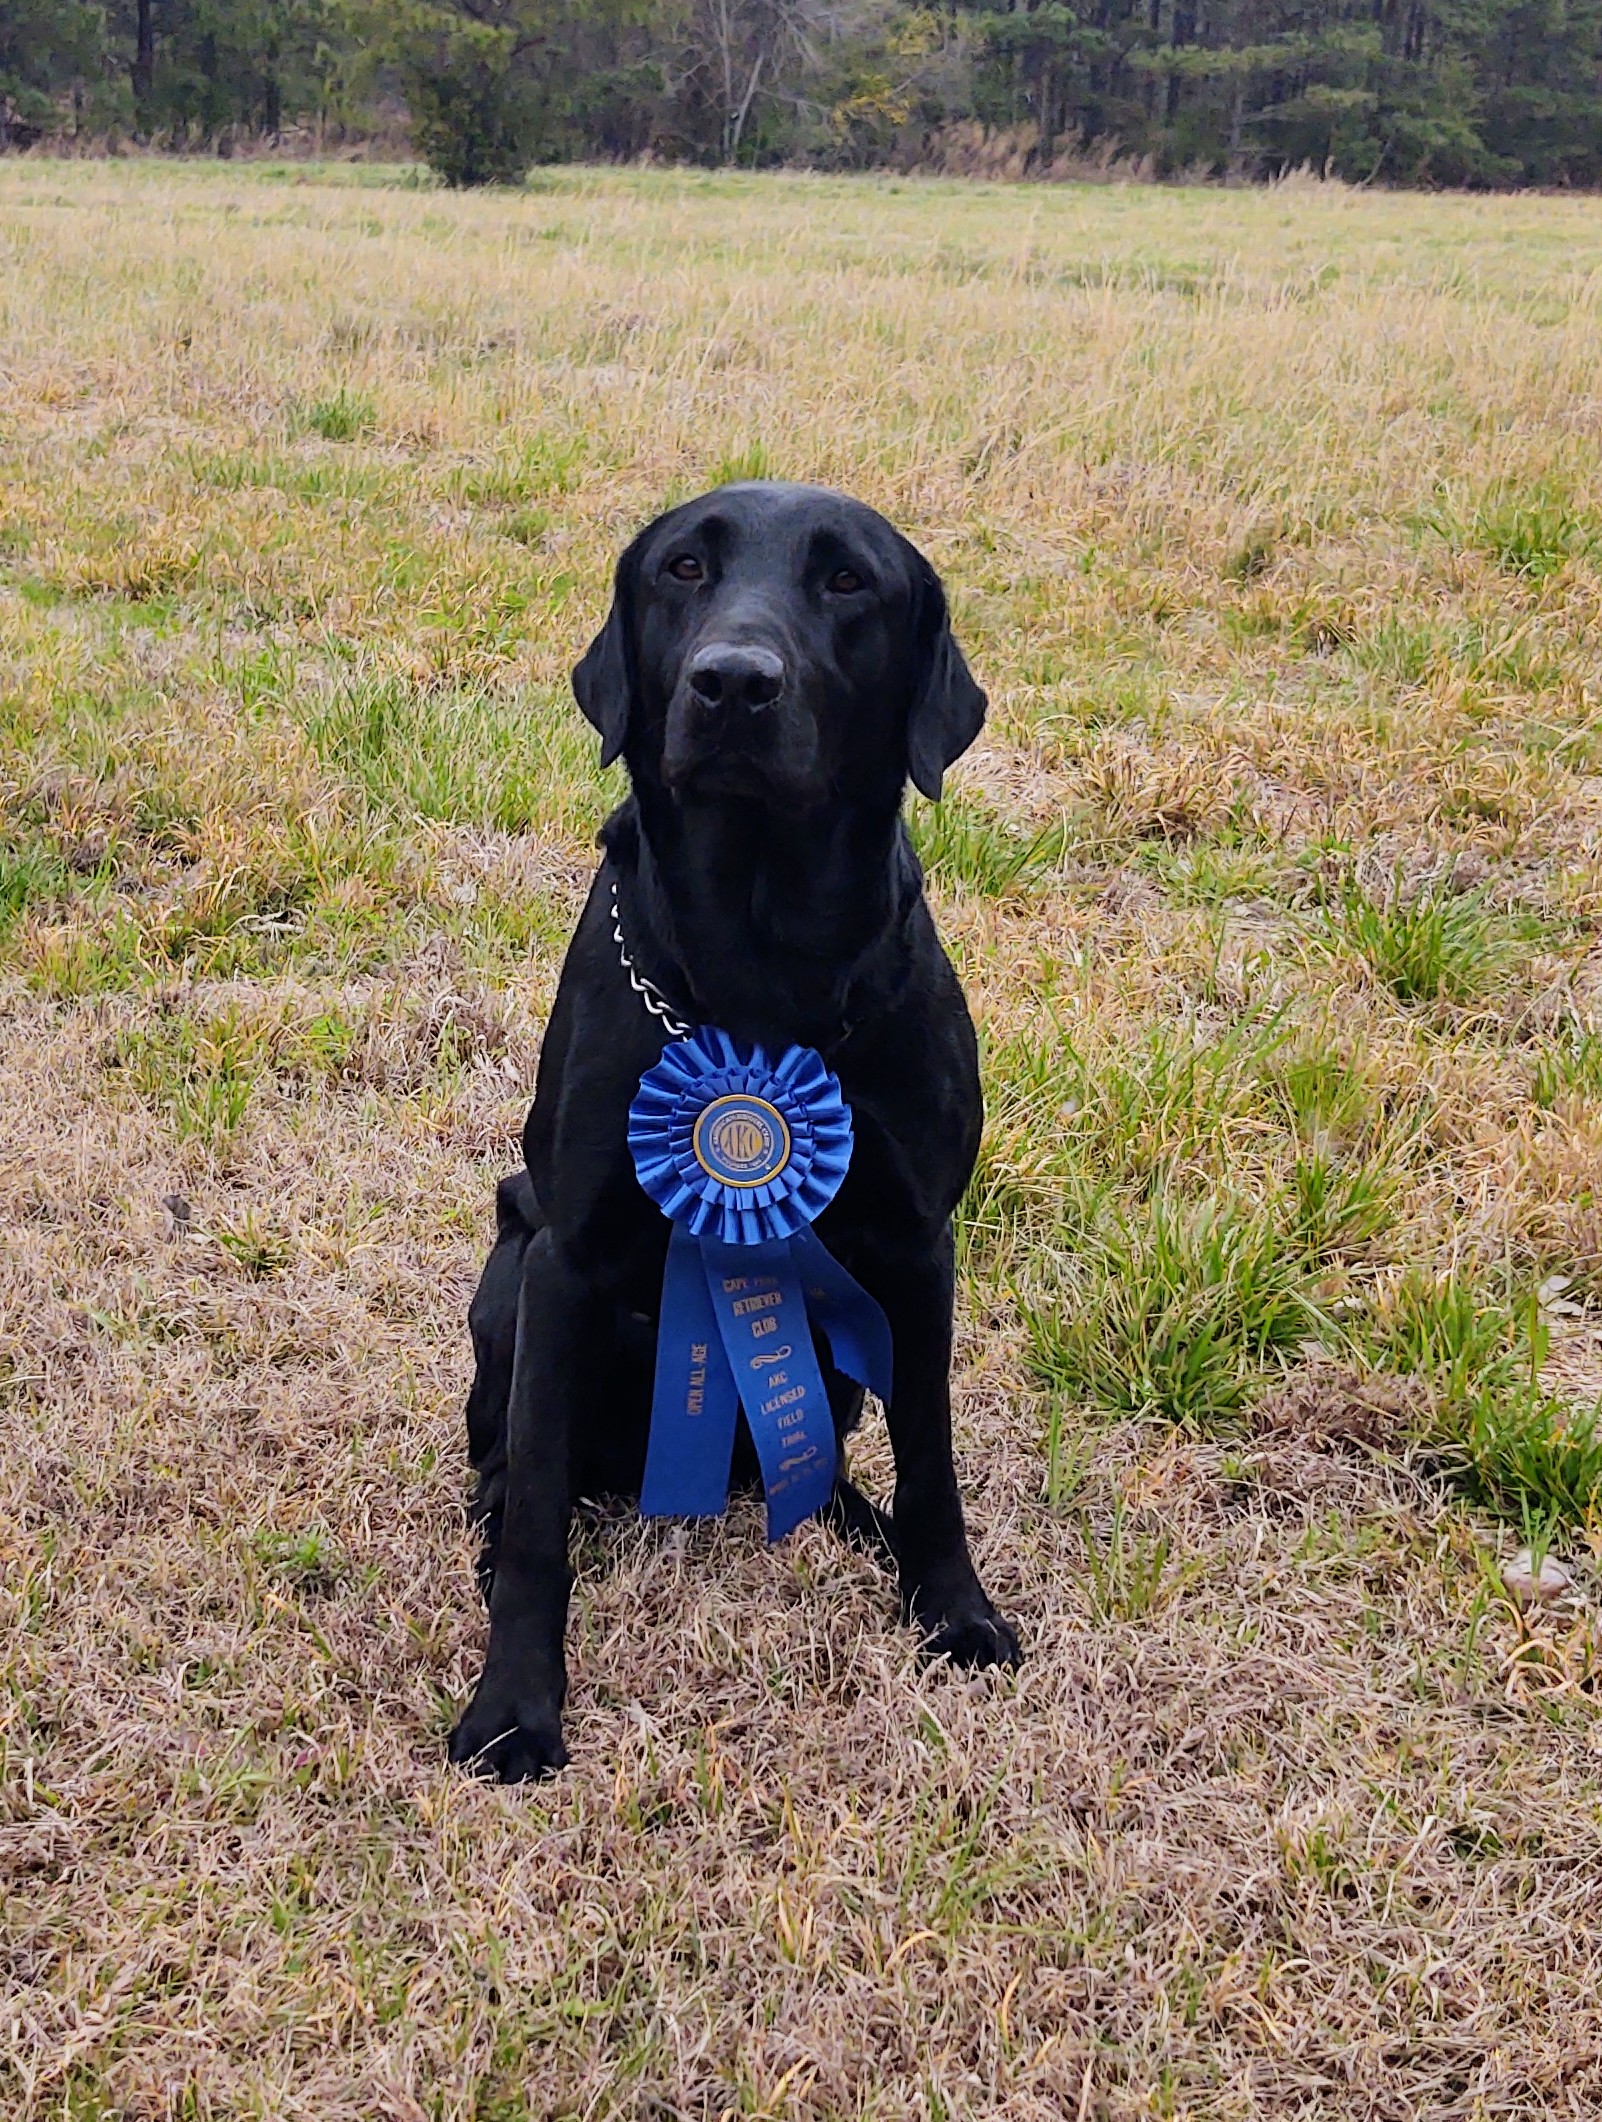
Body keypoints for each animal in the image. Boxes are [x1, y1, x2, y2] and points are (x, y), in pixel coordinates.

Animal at [447, 477, 1026, 1773]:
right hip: (505, 1278)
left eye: (849, 580)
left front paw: (952, 1606)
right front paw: (515, 1706)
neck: (763, 969)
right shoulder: (563, 1256)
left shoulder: (920, 1247)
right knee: (512, 1464)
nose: (733, 683)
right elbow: (539, 1520)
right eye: (685, 568)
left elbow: (933, 1456)